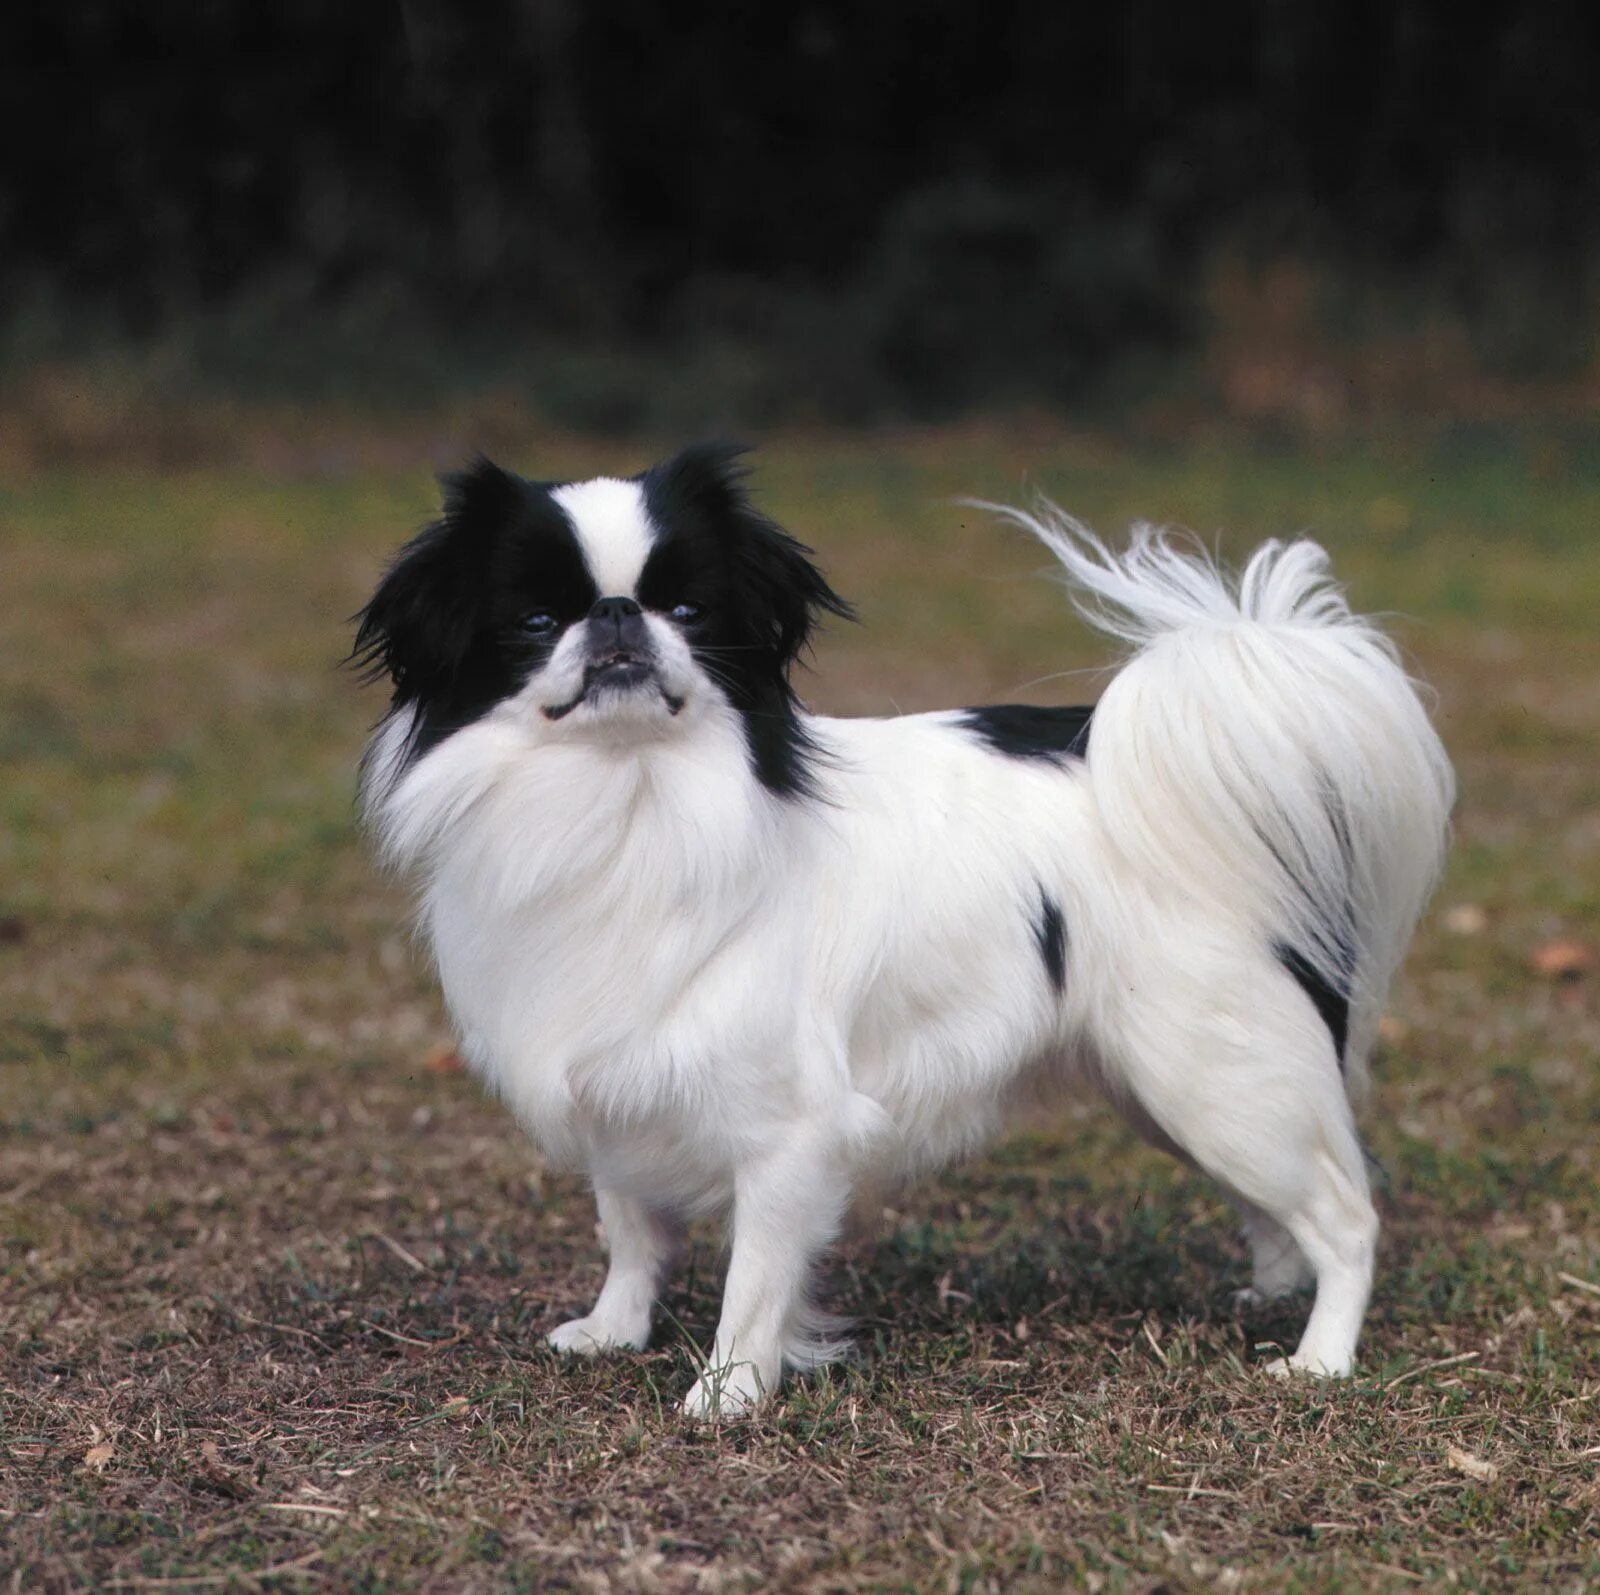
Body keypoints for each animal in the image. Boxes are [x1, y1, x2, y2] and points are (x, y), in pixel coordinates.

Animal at [356, 441, 1459, 1414]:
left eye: (690, 611)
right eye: (537, 618)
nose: (618, 614)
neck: (626, 797)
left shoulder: (788, 1130)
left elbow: (753, 1279)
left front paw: (728, 1391)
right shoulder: (619, 1079)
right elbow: (629, 1225)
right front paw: (614, 1330)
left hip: (1217, 1075)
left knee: (1347, 1216)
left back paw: (1320, 1357)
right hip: (1175, 1086)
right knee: (1278, 1208)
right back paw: (1271, 1295)